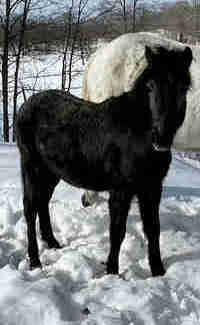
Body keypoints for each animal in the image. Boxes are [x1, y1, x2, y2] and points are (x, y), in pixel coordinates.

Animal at [16, 44, 192, 274]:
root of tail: (25, 105)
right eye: (150, 86)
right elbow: (117, 231)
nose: (161, 138)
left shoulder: (152, 188)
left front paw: (158, 271)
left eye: (183, 88)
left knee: (42, 203)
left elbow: (153, 228)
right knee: (30, 209)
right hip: (31, 167)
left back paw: (52, 242)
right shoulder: (121, 190)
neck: (138, 132)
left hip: (51, 172)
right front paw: (112, 271)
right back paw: (35, 261)